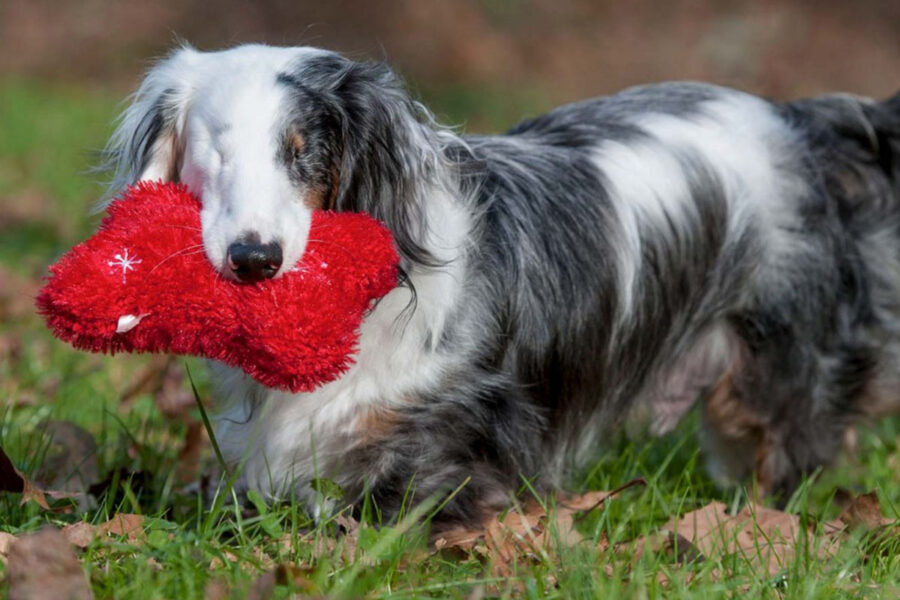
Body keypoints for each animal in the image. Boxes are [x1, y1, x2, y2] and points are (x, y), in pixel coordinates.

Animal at [102, 42, 900, 528]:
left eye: (304, 154)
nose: (253, 259)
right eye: (215, 150)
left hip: (779, 371)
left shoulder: (453, 426)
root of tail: (797, 123)